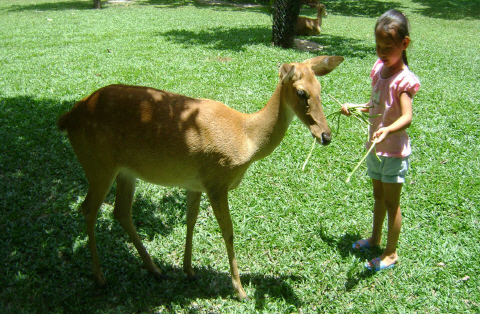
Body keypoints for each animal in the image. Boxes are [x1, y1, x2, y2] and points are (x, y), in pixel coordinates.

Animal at [58, 55, 344, 300]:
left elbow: (191, 221)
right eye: (301, 92)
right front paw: (240, 290)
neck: (247, 138)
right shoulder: (216, 180)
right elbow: (228, 231)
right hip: (98, 164)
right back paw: (100, 277)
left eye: (320, 88)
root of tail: (68, 118)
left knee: (121, 212)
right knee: (88, 208)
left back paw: (154, 269)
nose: (326, 135)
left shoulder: (194, 183)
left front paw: (189, 270)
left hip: (125, 171)